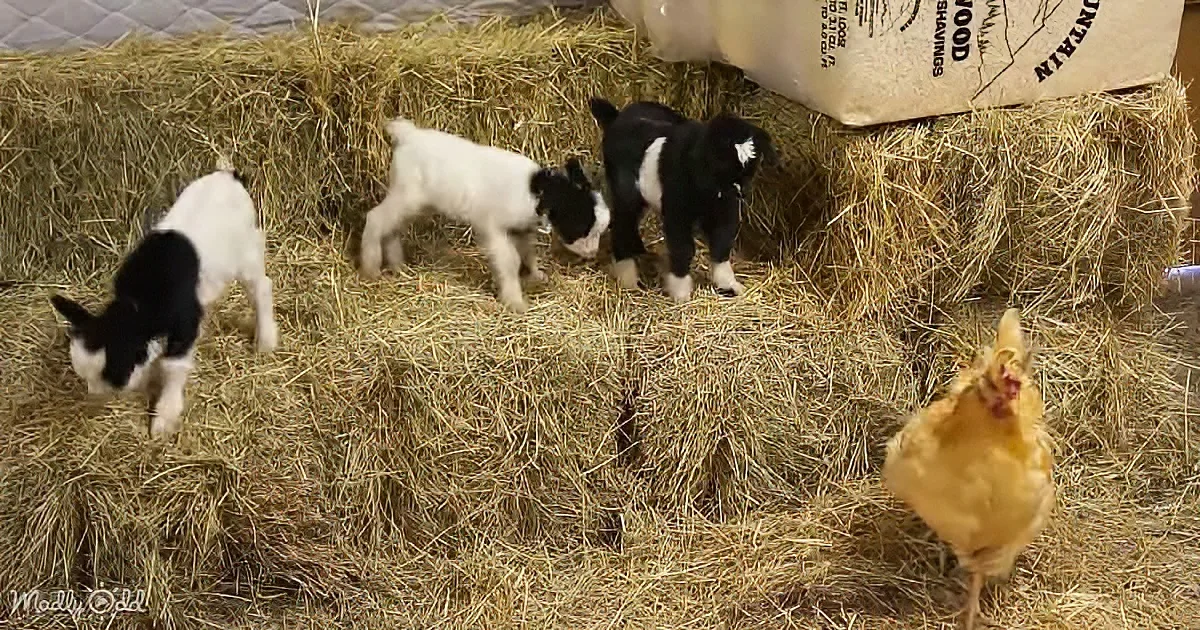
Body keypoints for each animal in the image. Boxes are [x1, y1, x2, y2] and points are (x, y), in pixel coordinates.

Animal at [50, 158, 278, 441]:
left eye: (113, 375)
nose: (93, 397)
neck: (138, 304)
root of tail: (230, 176)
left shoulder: (186, 322)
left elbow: (173, 367)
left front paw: (164, 418)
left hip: (246, 250)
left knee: (261, 287)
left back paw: (266, 340)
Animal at [359, 118, 610, 313]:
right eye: (582, 227)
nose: (592, 254)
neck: (536, 192)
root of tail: (408, 134)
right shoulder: (494, 228)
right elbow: (509, 261)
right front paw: (515, 301)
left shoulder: (519, 229)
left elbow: (528, 252)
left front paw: (535, 274)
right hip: (406, 195)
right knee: (375, 218)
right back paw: (371, 269)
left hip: (415, 202)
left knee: (392, 228)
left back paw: (397, 265)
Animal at [588, 98, 777, 303]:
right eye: (722, 162)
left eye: (752, 166)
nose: (741, 192)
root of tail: (617, 116)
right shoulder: (677, 213)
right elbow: (683, 248)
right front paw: (681, 292)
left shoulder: (724, 211)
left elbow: (722, 243)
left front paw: (728, 284)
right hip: (625, 191)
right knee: (623, 223)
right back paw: (628, 277)